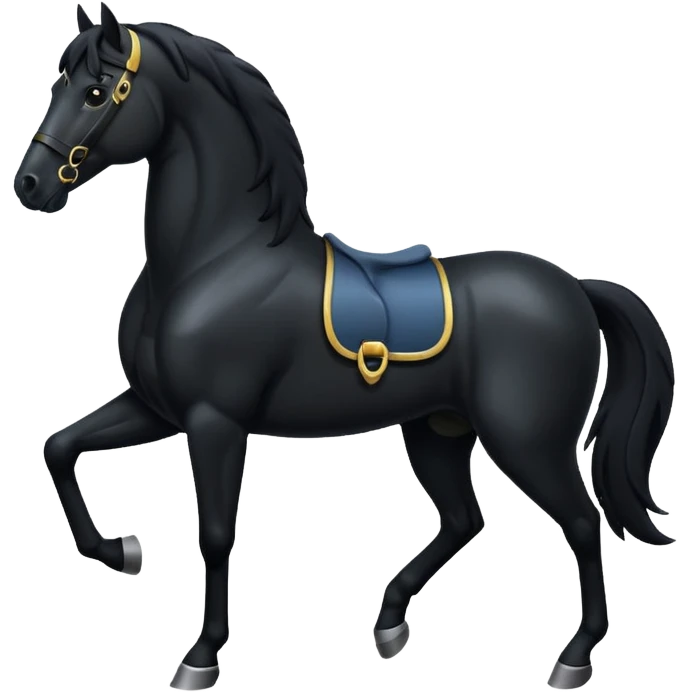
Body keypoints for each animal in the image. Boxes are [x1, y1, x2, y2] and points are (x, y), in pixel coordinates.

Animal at [17, 4, 676, 690]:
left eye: (96, 92)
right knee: (465, 519)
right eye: (58, 83)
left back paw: (573, 657)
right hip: (437, 430)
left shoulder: (213, 421)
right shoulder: (156, 407)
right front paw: (121, 551)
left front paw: (201, 656)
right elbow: (59, 446)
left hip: (527, 439)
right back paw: (389, 623)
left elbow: (217, 533)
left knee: (582, 522)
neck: (213, 259)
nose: (31, 185)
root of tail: (577, 287)